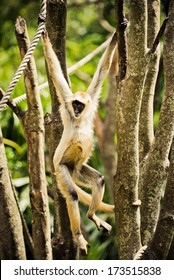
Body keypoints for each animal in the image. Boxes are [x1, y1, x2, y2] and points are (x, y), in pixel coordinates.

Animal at [42, 30, 117, 254]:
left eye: (80, 105)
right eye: (74, 104)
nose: (75, 109)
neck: (79, 118)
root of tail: (71, 168)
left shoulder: (91, 102)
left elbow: (102, 71)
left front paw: (118, 32)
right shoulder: (65, 104)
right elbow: (56, 74)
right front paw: (44, 35)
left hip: (78, 170)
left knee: (99, 179)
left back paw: (92, 215)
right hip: (62, 169)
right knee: (73, 194)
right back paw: (78, 236)